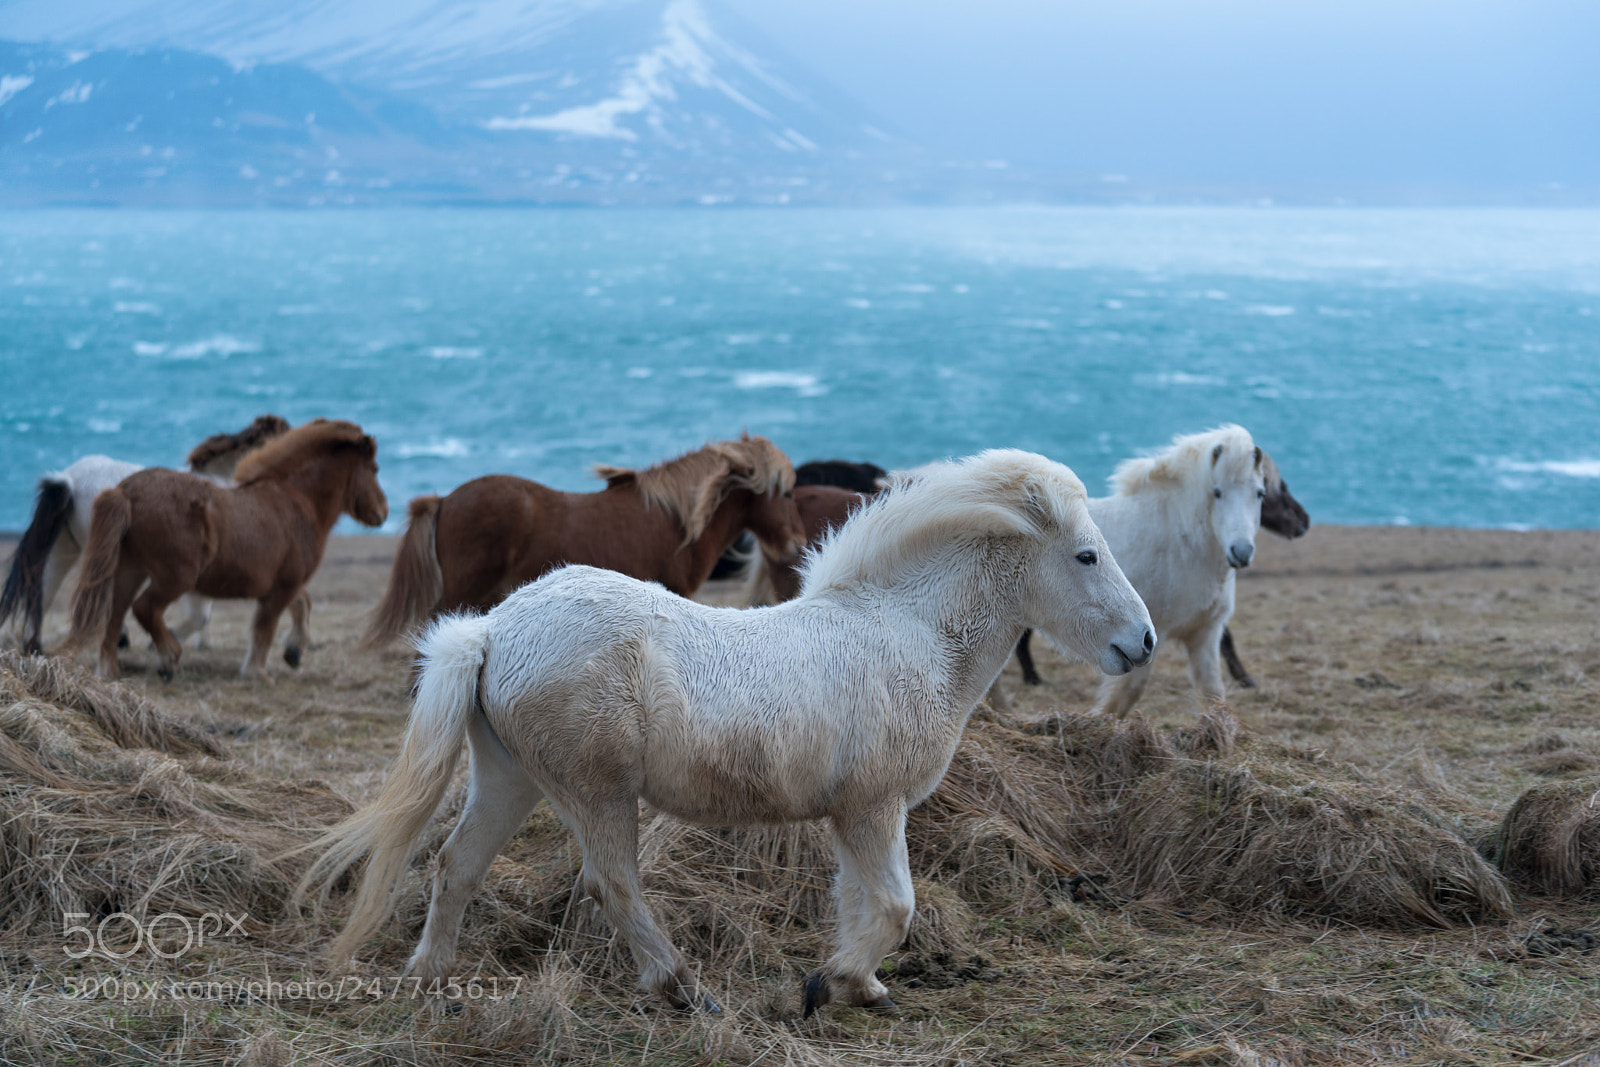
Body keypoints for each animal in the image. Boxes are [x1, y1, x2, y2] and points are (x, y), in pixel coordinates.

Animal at [60, 419, 387, 681]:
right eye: (374, 469)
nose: (383, 512)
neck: (295, 502)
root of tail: (126, 491)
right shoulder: (282, 586)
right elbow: (264, 629)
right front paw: (257, 672)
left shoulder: (283, 585)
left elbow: (301, 605)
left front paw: (293, 651)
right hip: (174, 578)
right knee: (144, 609)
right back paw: (168, 659)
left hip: (131, 569)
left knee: (115, 614)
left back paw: (109, 671)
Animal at [1088, 425, 1260, 716]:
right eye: (1217, 492)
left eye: (1260, 493)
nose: (1241, 551)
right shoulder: (1146, 638)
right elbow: (1125, 694)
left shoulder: (1205, 635)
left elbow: (1213, 693)